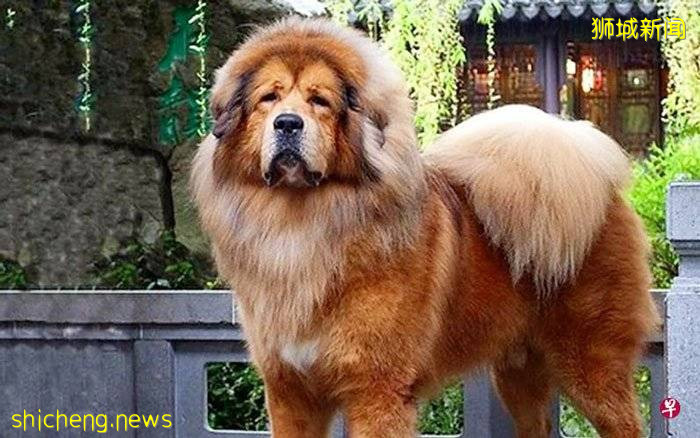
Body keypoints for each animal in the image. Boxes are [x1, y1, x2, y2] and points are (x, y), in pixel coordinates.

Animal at [191, 18, 659, 438]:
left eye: (319, 101)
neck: (303, 220)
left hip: (592, 362)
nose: (288, 123)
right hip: (518, 370)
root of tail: (593, 181)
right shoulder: (291, 390)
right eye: (268, 99)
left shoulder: (377, 388)